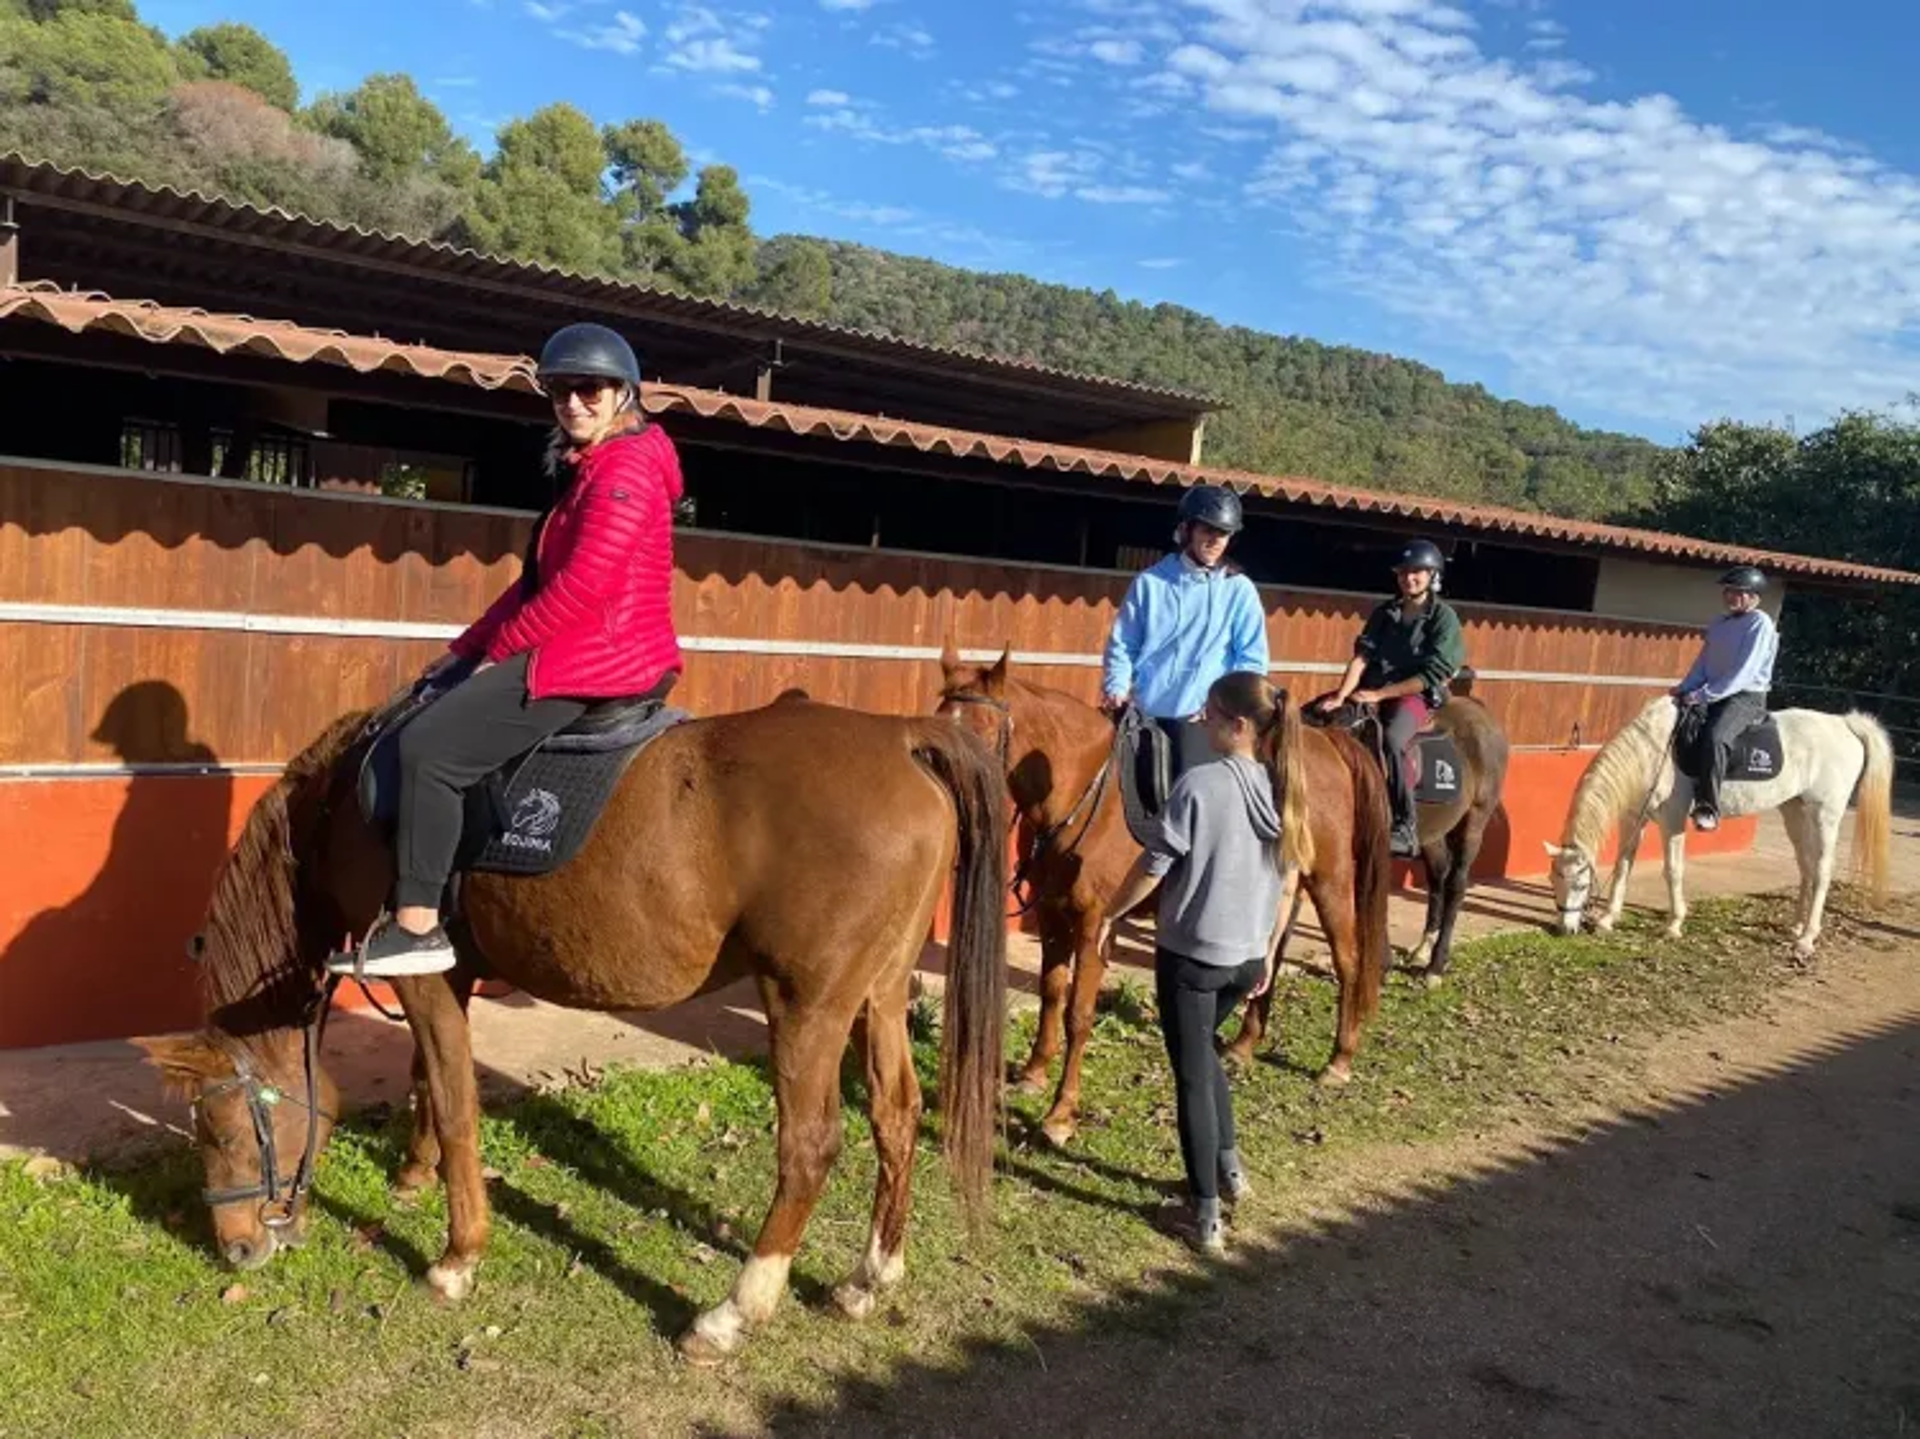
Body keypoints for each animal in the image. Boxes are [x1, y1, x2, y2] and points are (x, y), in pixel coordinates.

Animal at [138, 690, 1009, 1367]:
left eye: (222, 1128)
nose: (236, 1245)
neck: (344, 804)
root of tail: (899, 735)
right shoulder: (450, 974)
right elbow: (426, 1079)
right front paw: (414, 1174)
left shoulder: (423, 976)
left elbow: (455, 1104)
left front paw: (457, 1256)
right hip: (879, 995)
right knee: (897, 1113)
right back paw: (869, 1277)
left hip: (807, 1004)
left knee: (812, 1145)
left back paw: (735, 1310)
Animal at [935, 648, 1392, 1148]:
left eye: (981, 731)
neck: (1086, 793)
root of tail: (1327, 742)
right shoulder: (1055, 914)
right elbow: (1051, 993)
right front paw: (1034, 1074)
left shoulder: (1095, 925)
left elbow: (1079, 1013)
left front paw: (1060, 1115)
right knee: (1270, 959)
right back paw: (1244, 1045)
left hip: (1330, 881)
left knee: (1348, 959)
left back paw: (1339, 1060)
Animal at [1309, 681, 1511, 985]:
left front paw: (1379, 965)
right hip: (1432, 835)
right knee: (1438, 876)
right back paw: (1423, 948)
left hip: (1474, 822)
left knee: (1456, 885)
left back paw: (1435, 966)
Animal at [1545, 694, 1893, 958]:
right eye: (1553, 881)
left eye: (1580, 885)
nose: (1565, 930)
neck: (1653, 754)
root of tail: (1845, 724)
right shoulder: (1635, 817)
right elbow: (1622, 867)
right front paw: (1607, 920)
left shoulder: (1672, 822)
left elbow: (1673, 870)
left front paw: (1674, 925)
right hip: (1794, 811)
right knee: (1806, 866)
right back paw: (1796, 926)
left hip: (1826, 815)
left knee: (1821, 871)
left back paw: (1807, 938)